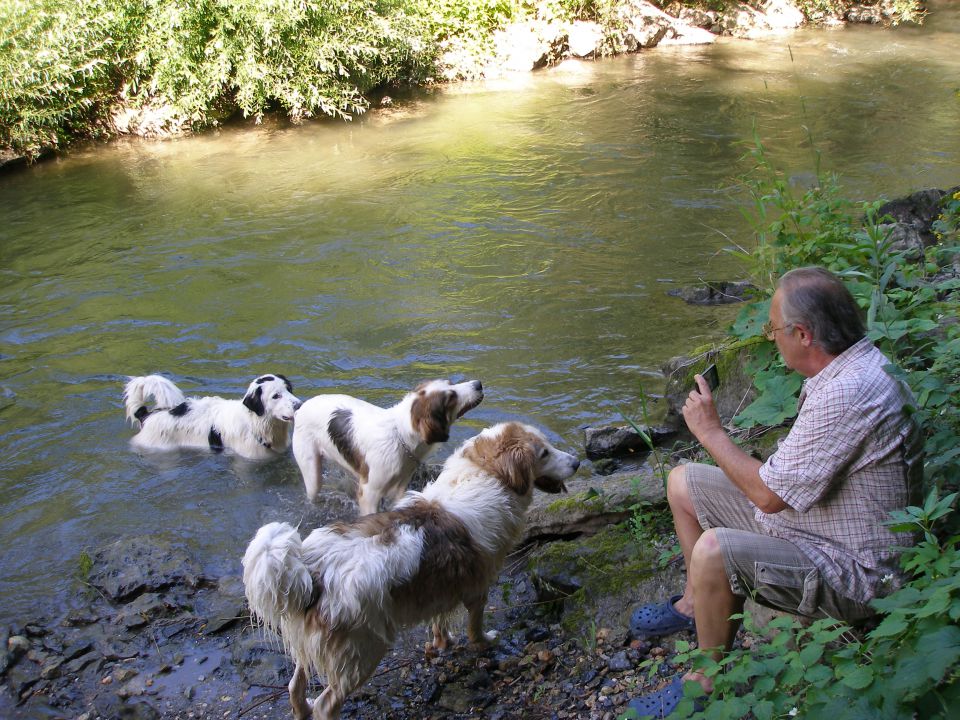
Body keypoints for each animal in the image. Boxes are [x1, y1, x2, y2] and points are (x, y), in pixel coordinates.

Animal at [244, 422, 580, 720]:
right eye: (544, 453)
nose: (577, 462)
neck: (485, 474)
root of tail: (313, 571)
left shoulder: (441, 587)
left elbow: (439, 622)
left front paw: (442, 644)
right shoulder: (478, 588)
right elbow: (475, 627)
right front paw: (485, 643)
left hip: (308, 648)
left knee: (294, 686)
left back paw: (302, 708)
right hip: (361, 654)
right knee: (327, 705)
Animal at [290, 380, 488, 516]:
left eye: (450, 383)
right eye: (451, 397)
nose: (478, 384)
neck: (400, 436)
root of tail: (300, 408)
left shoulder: (400, 489)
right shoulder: (369, 493)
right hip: (312, 474)